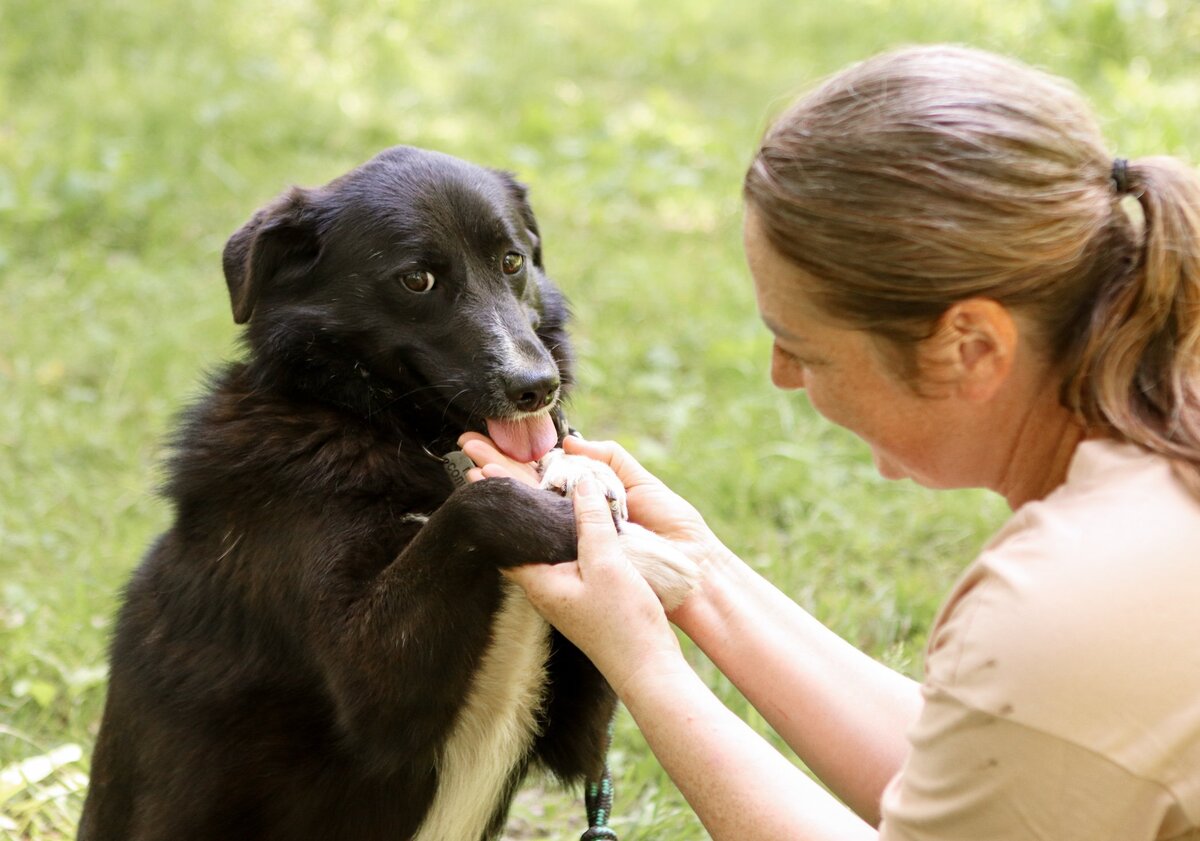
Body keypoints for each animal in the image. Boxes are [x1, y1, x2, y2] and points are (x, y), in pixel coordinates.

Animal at [83, 147, 628, 835]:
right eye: (417, 280)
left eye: (512, 261)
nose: (537, 387)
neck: (401, 437)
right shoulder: (372, 687)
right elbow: (475, 509)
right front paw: (562, 522)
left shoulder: (581, 740)